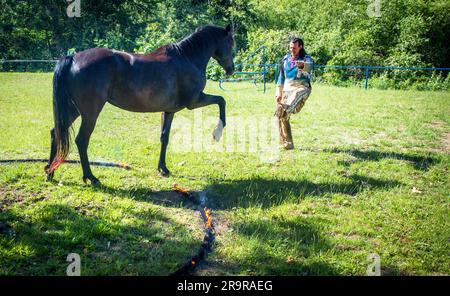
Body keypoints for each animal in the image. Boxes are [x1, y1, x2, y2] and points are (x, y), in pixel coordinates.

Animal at [44, 24, 236, 184]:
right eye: (230, 43)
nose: (231, 69)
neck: (187, 58)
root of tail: (73, 58)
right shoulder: (195, 101)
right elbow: (221, 101)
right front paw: (217, 133)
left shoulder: (169, 111)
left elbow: (164, 137)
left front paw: (163, 168)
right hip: (90, 113)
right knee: (82, 140)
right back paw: (90, 177)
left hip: (74, 109)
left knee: (55, 133)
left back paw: (50, 172)